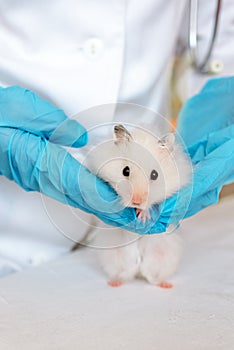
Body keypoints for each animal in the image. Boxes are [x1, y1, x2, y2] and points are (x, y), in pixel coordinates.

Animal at [84, 124, 192, 288]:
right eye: (126, 170)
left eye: (155, 175)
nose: (136, 201)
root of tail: (139, 266)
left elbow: (153, 203)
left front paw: (143, 217)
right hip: (114, 254)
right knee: (125, 273)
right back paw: (114, 283)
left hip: (164, 255)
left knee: (153, 277)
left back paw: (165, 285)